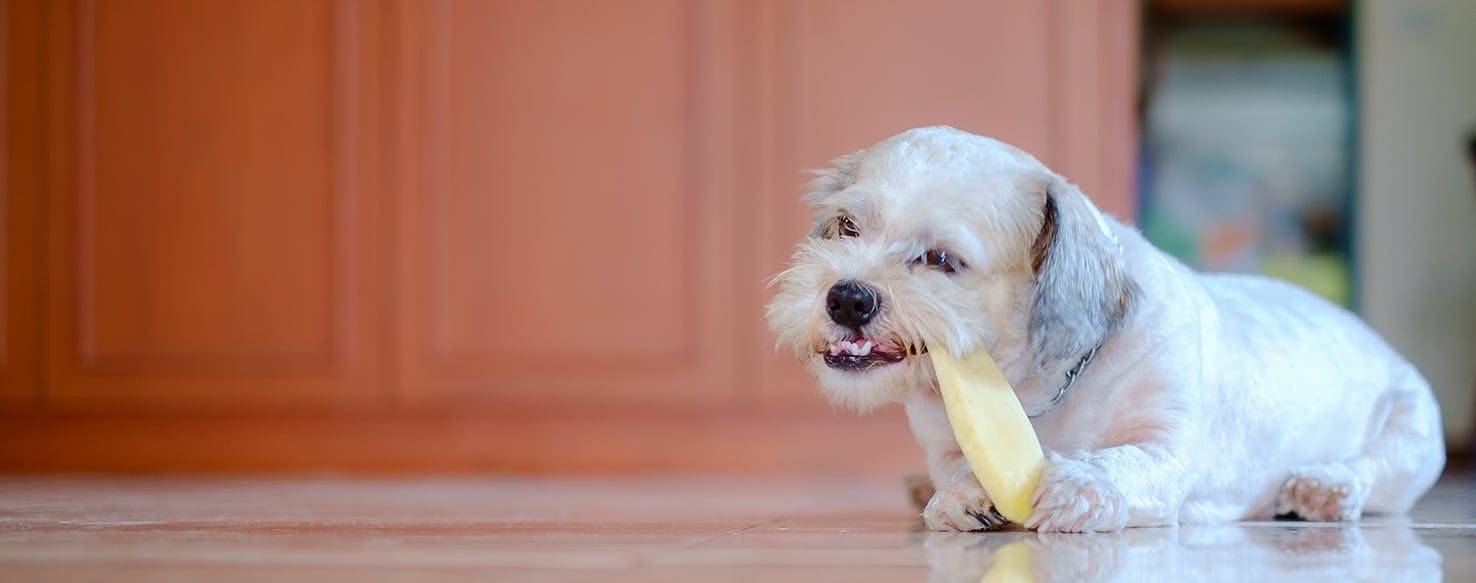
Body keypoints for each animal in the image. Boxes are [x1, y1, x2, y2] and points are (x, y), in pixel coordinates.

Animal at [767, 126, 1446, 534]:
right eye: (847, 227)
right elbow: (955, 471)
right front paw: (957, 494)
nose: (846, 297)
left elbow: (1124, 462)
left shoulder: (1167, 450)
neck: (1039, 392)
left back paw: (1323, 487)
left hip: (1410, 439)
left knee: (1372, 474)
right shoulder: (946, 441)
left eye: (940, 260)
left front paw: (1080, 483)